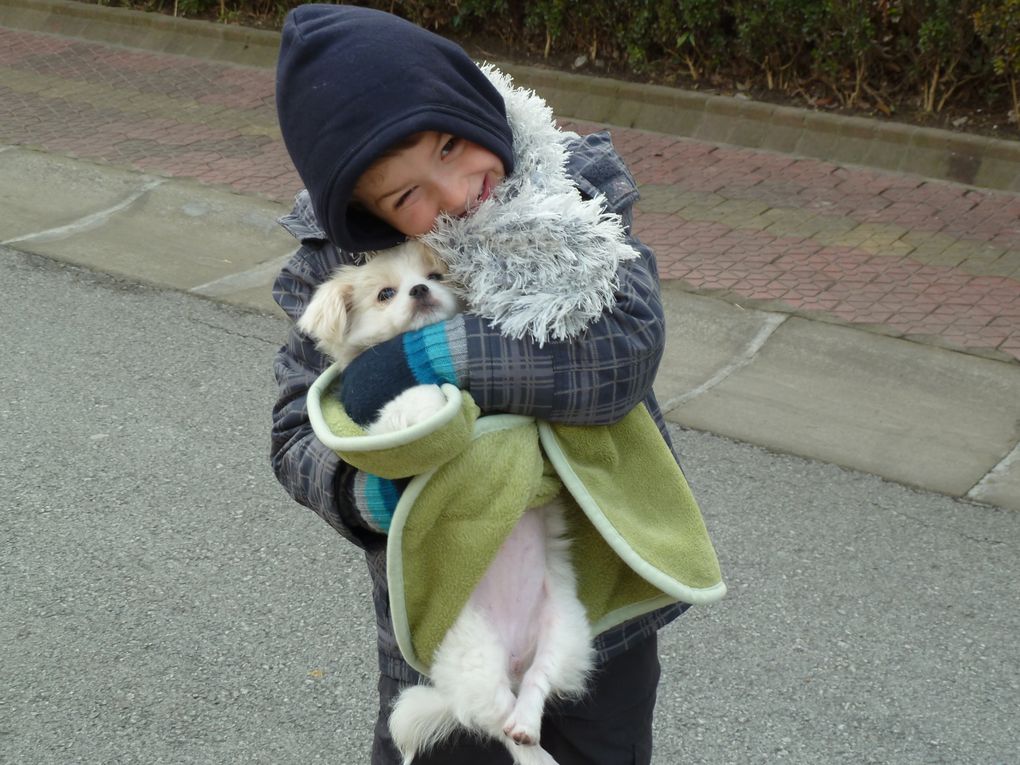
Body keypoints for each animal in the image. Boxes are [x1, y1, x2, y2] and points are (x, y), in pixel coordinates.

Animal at [297, 240, 595, 765]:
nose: (419, 290)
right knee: (501, 721)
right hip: (475, 657)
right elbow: (412, 403)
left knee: (535, 687)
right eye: (385, 294)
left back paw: (528, 727)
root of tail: (514, 656)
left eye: (435, 275)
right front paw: (439, 403)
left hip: (564, 633)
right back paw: (528, 744)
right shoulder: (385, 420)